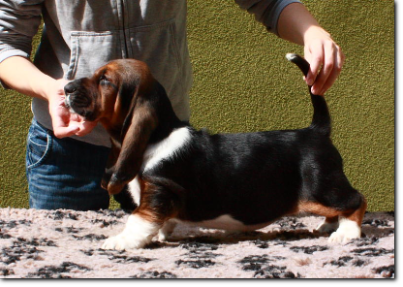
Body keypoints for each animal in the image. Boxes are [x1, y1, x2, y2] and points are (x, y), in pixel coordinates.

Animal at [64, 53, 368, 250]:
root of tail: (316, 130)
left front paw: (121, 241)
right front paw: (161, 234)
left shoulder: (158, 192)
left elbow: (139, 220)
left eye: (105, 81)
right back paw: (328, 226)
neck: (157, 137)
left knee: (355, 200)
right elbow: (159, 221)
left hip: (321, 187)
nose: (66, 87)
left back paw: (346, 233)